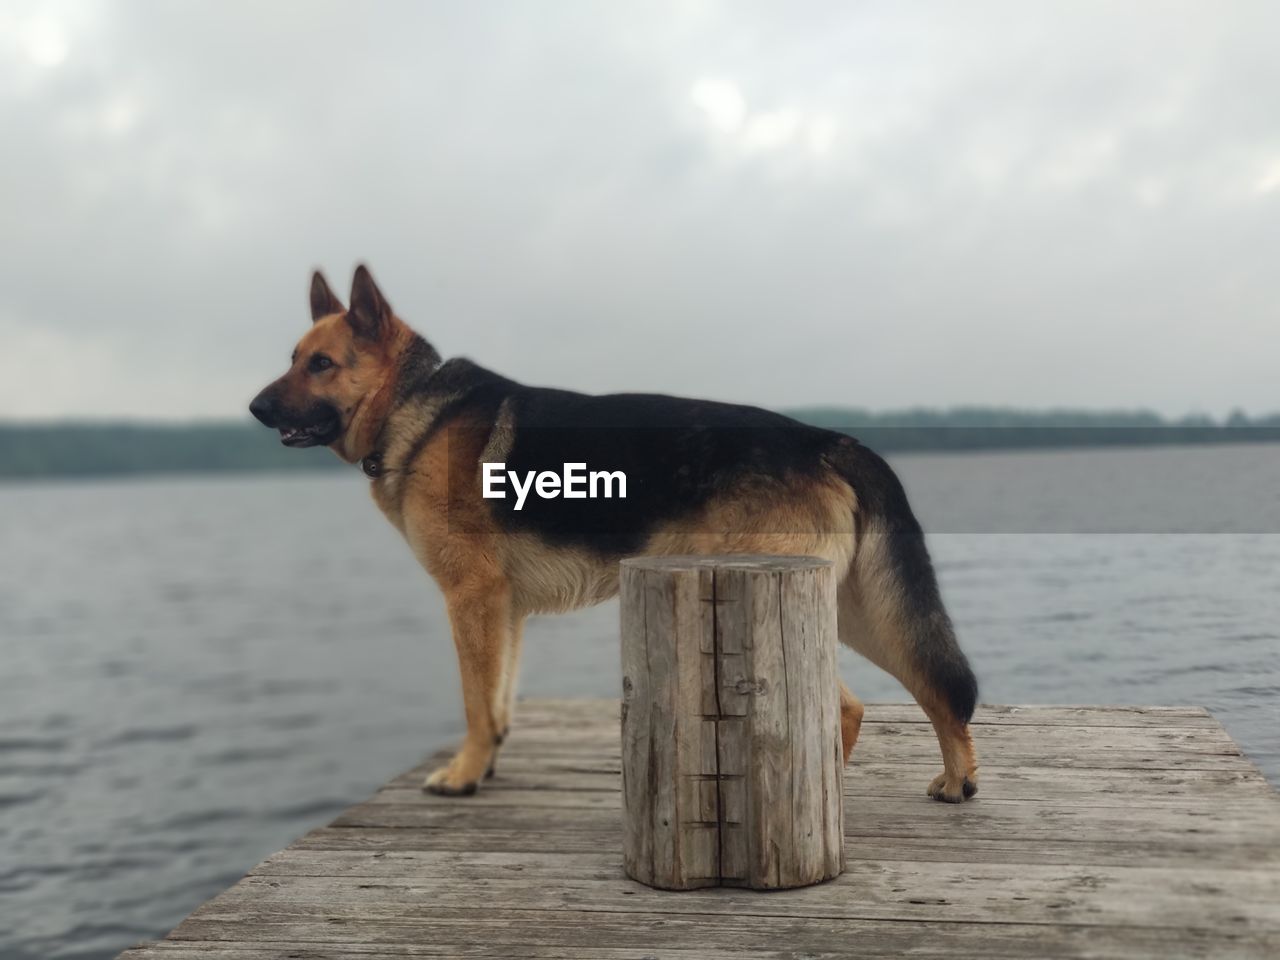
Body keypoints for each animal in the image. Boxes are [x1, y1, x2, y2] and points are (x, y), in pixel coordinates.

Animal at [257, 267, 977, 798]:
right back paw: (952, 780)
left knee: (858, 704)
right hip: (853, 610)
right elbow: (498, 702)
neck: (413, 408)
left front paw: (462, 776)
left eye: (321, 364)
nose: (255, 408)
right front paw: (484, 768)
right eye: (293, 359)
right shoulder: (504, 611)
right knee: (934, 689)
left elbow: (474, 702)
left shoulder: (470, 599)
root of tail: (830, 441)